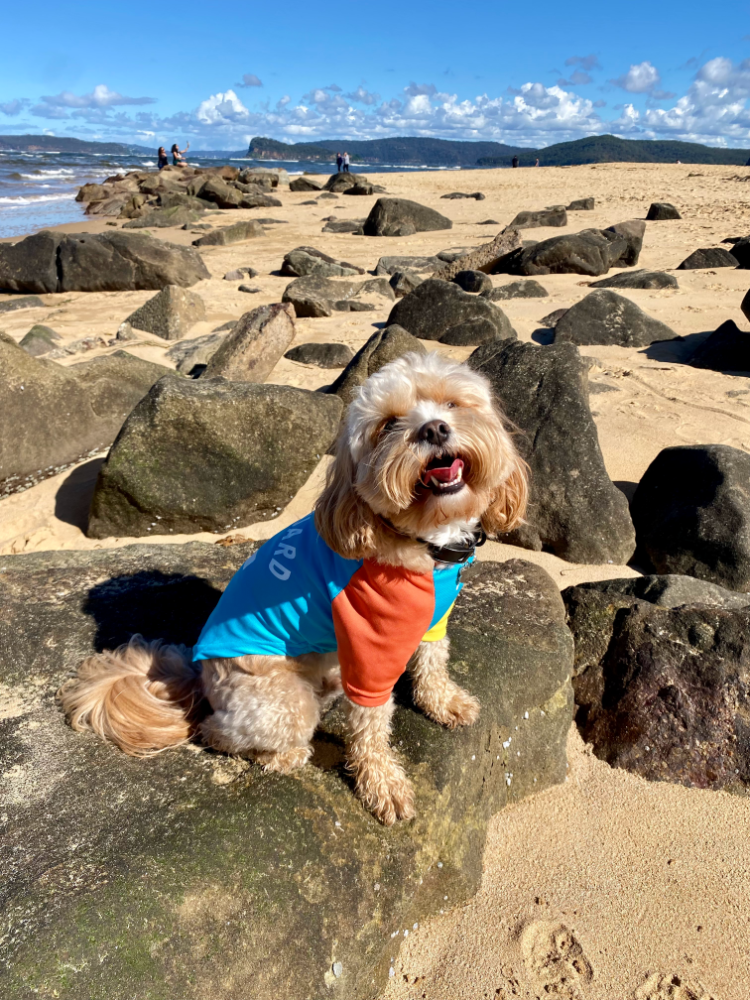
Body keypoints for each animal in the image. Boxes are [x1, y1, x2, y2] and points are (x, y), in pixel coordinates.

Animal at [58, 348, 528, 824]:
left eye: (452, 403)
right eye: (388, 425)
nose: (433, 428)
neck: (422, 540)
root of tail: (199, 670)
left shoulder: (434, 619)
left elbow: (432, 662)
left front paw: (442, 702)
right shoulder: (369, 645)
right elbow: (371, 721)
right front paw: (382, 782)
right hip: (280, 701)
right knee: (216, 730)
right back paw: (280, 755)